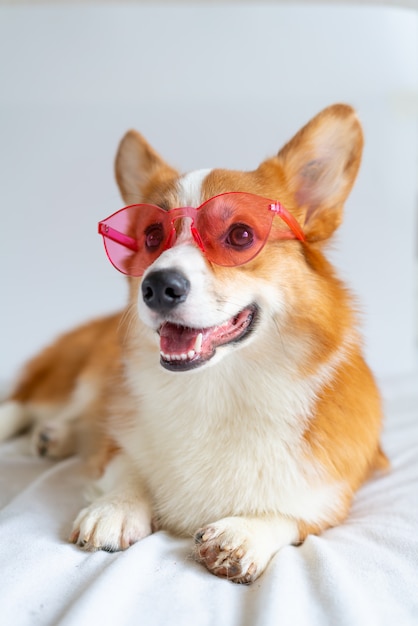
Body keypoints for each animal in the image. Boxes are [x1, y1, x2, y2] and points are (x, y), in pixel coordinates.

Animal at [0, 105, 386, 584]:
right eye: (151, 236)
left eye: (241, 235)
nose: (156, 287)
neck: (218, 388)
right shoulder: (120, 444)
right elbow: (126, 464)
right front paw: (116, 507)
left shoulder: (336, 490)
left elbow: (296, 514)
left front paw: (247, 532)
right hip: (74, 373)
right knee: (26, 403)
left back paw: (56, 437)